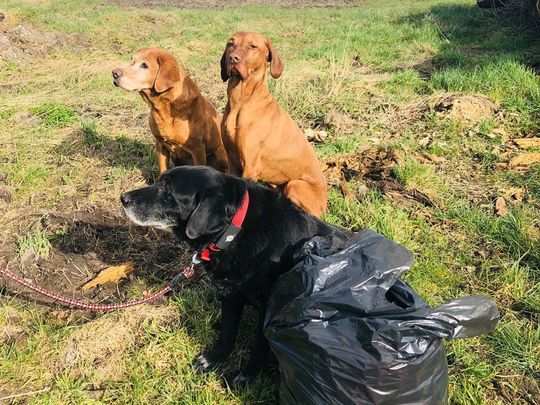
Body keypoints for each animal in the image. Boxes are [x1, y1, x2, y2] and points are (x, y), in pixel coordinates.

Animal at [120, 166, 352, 384]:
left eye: (168, 191)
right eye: (159, 181)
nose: (123, 198)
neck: (234, 231)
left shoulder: (268, 308)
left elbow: (259, 345)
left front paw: (248, 375)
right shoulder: (229, 294)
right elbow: (227, 333)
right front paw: (212, 359)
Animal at [220, 32, 330, 218]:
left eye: (253, 46)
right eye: (230, 44)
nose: (232, 58)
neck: (241, 101)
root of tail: (325, 203)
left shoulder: (250, 167)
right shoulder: (232, 162)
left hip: (295, 185)